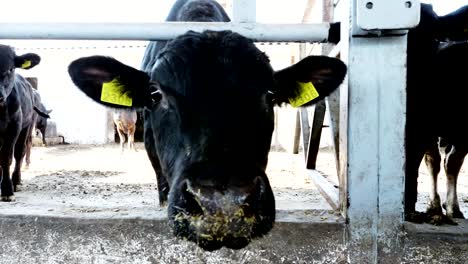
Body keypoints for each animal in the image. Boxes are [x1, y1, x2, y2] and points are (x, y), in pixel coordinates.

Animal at [0, 44, 49, 201]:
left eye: (11, 68)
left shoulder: (13, 127)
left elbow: (6, 157)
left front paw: (7, 190)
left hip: (26, 127)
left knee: (19, 152)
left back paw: (16, 181)